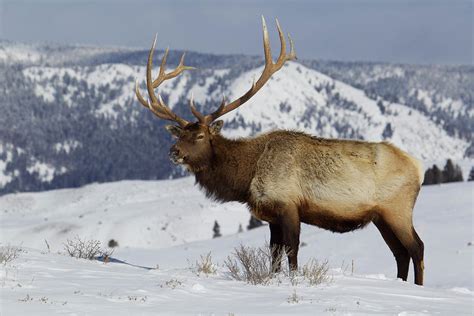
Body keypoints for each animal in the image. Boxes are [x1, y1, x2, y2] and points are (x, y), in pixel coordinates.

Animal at [134, 16, 426, 286]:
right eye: (179, 134)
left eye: (200, 135)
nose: (173, 152)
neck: (246, 178)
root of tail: (418, 166)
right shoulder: (271, 215)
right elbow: (274, 254)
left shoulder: (288, 206)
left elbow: (291, 251)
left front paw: (294, 280)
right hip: (381, 217)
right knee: (400, 253)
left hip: (397, 208)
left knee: (416, 247)